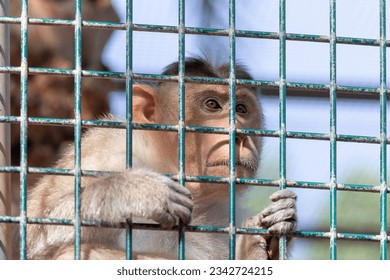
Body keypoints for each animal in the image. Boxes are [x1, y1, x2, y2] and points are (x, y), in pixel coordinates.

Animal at [26, 57, 296, 260]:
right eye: (212, 104)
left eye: (241, 109)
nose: (239, 135)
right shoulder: (106, 149)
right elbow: (31, 236)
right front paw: (136, 193)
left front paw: (280, 222)